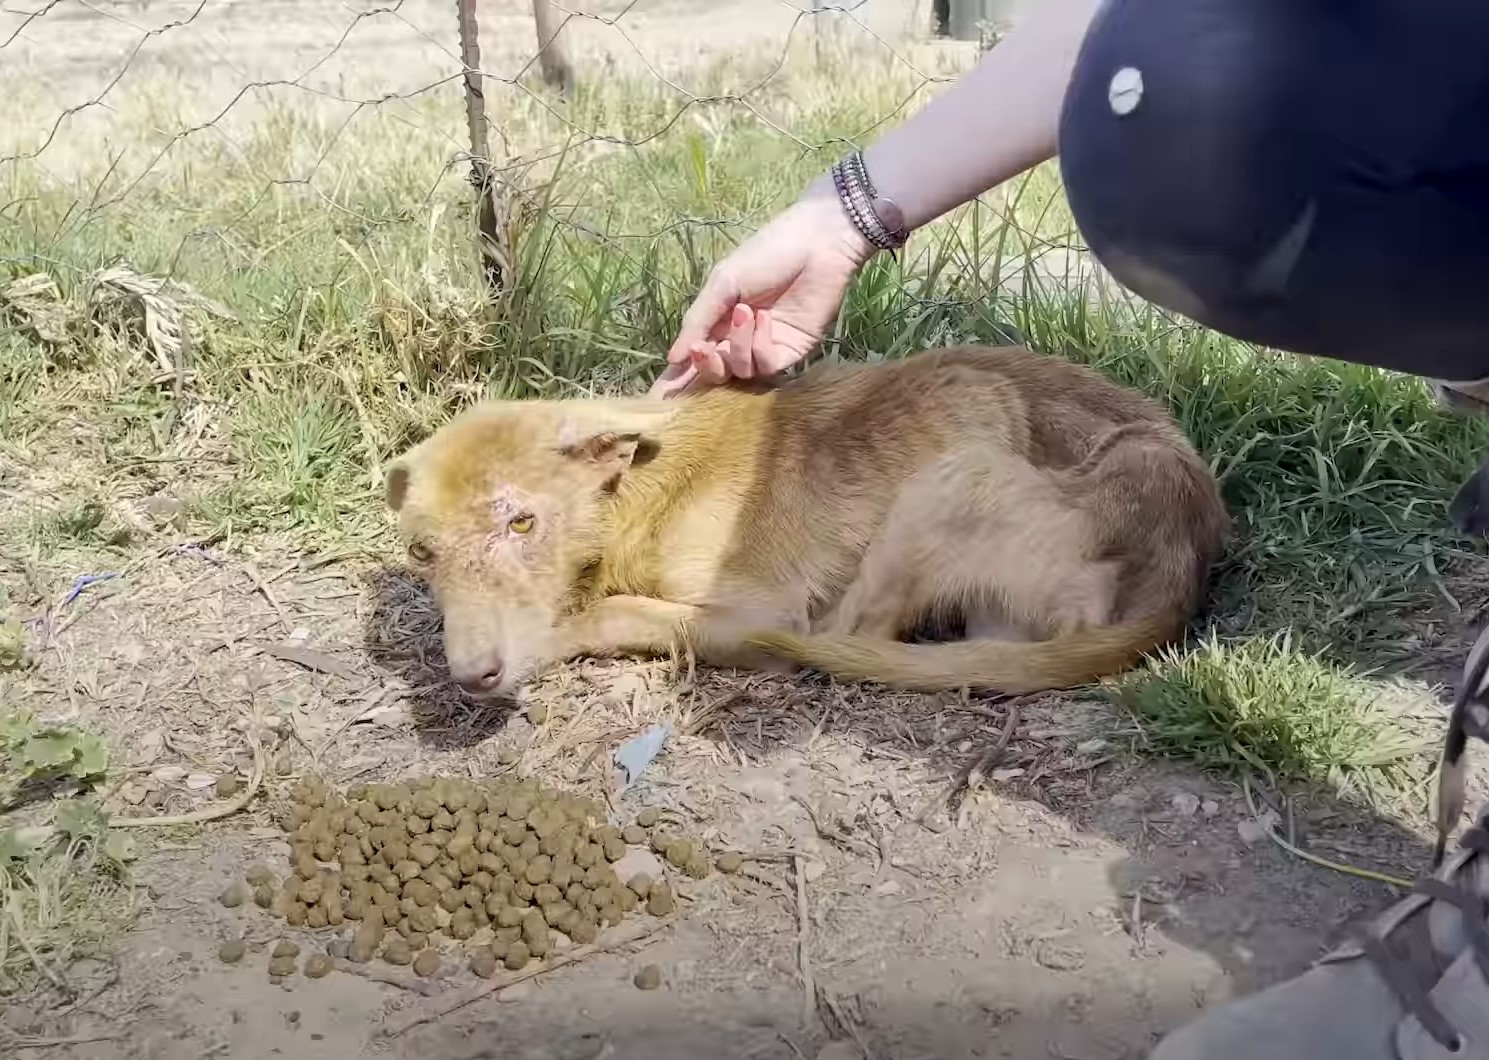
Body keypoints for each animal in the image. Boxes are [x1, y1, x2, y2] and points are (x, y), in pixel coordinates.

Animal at [387, 343, 1232, 699]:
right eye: (422, 553)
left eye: (522, 524)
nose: (470, 677)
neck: (641, 489)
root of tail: (1186, 545)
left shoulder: (755, 608)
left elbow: (614, 611)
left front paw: (562, 634)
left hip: (948, 478)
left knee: (853, 634)